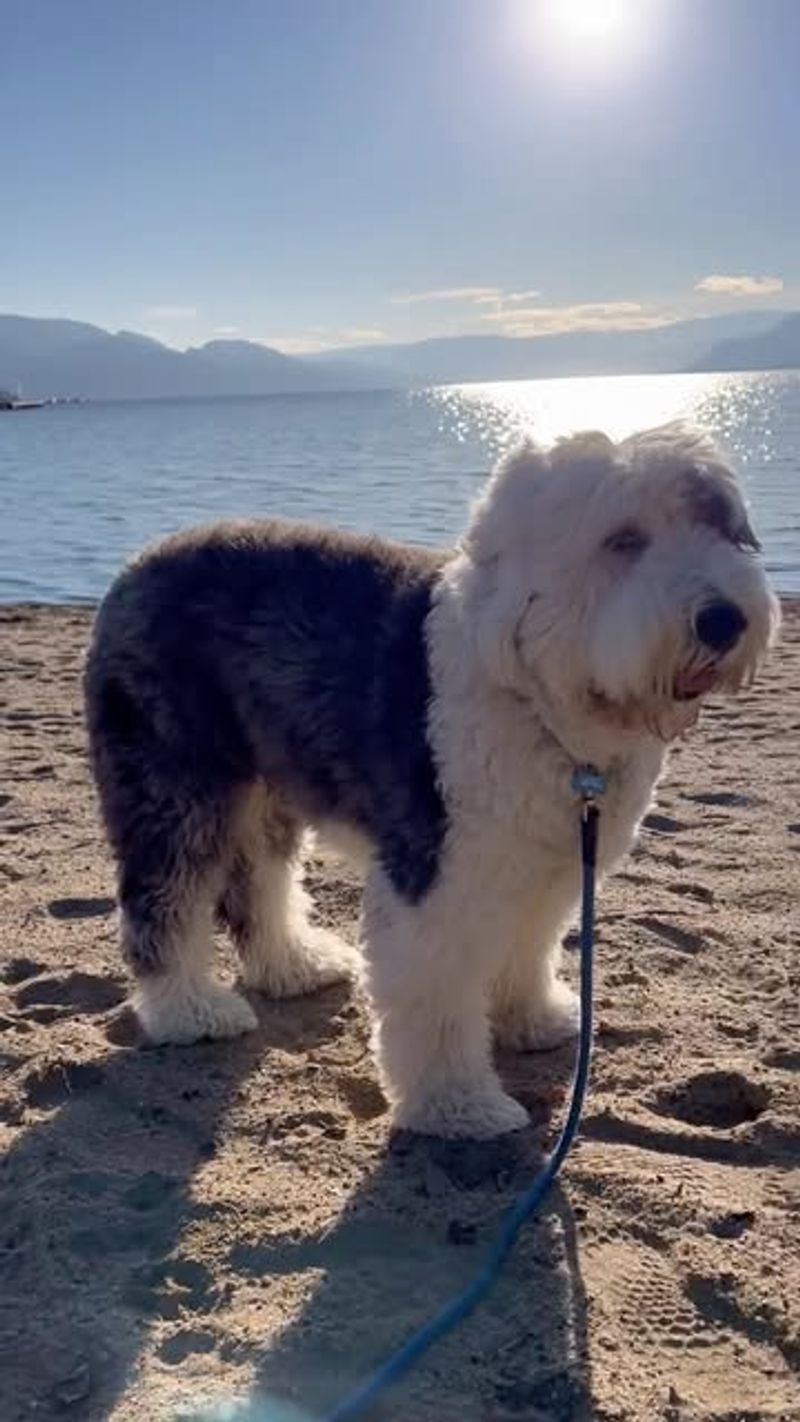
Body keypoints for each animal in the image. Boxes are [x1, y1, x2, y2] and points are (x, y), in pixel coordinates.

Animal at [84, 426, 778, 1137]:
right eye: (624, 539)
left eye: (719, 527)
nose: (724, 619)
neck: (539, 694)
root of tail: (138, 563)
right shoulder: (438, 873)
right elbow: (438, 992)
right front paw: (458, 1105)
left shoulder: (547, 860)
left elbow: (528, 945)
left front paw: (532, 1020)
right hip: (174, 779)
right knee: (163, 897)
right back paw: (189, 1010)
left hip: (266, 782)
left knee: (259, 880)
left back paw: (296, 966)